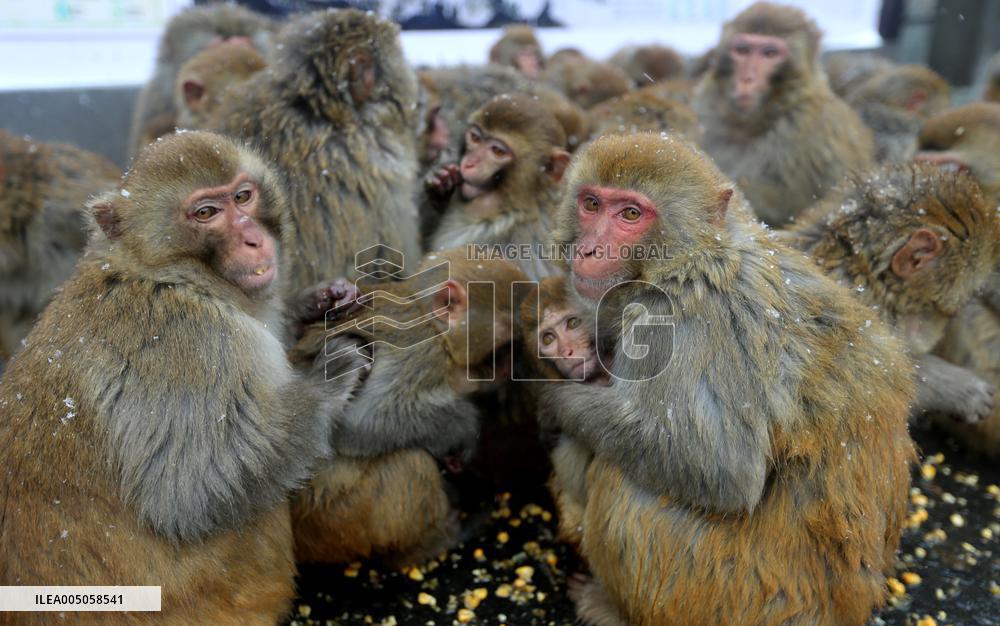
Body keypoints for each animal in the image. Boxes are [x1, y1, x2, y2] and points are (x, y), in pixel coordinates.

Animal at [287, 248, 527, 566]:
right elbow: (362, 421)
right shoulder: (421, 352)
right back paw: (438, 540)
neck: (432, 323)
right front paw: (463, 425)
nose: (506, 368)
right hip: (335, 519)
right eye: (503, 345)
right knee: (411, 463)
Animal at [542, 133, 914, 626]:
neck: (694, 255)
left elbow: (722, 467)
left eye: (631, 215)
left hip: (728, 592)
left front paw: (556, 403)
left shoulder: (685, 321)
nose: (588, 251)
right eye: (590, 203)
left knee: (624, 479)